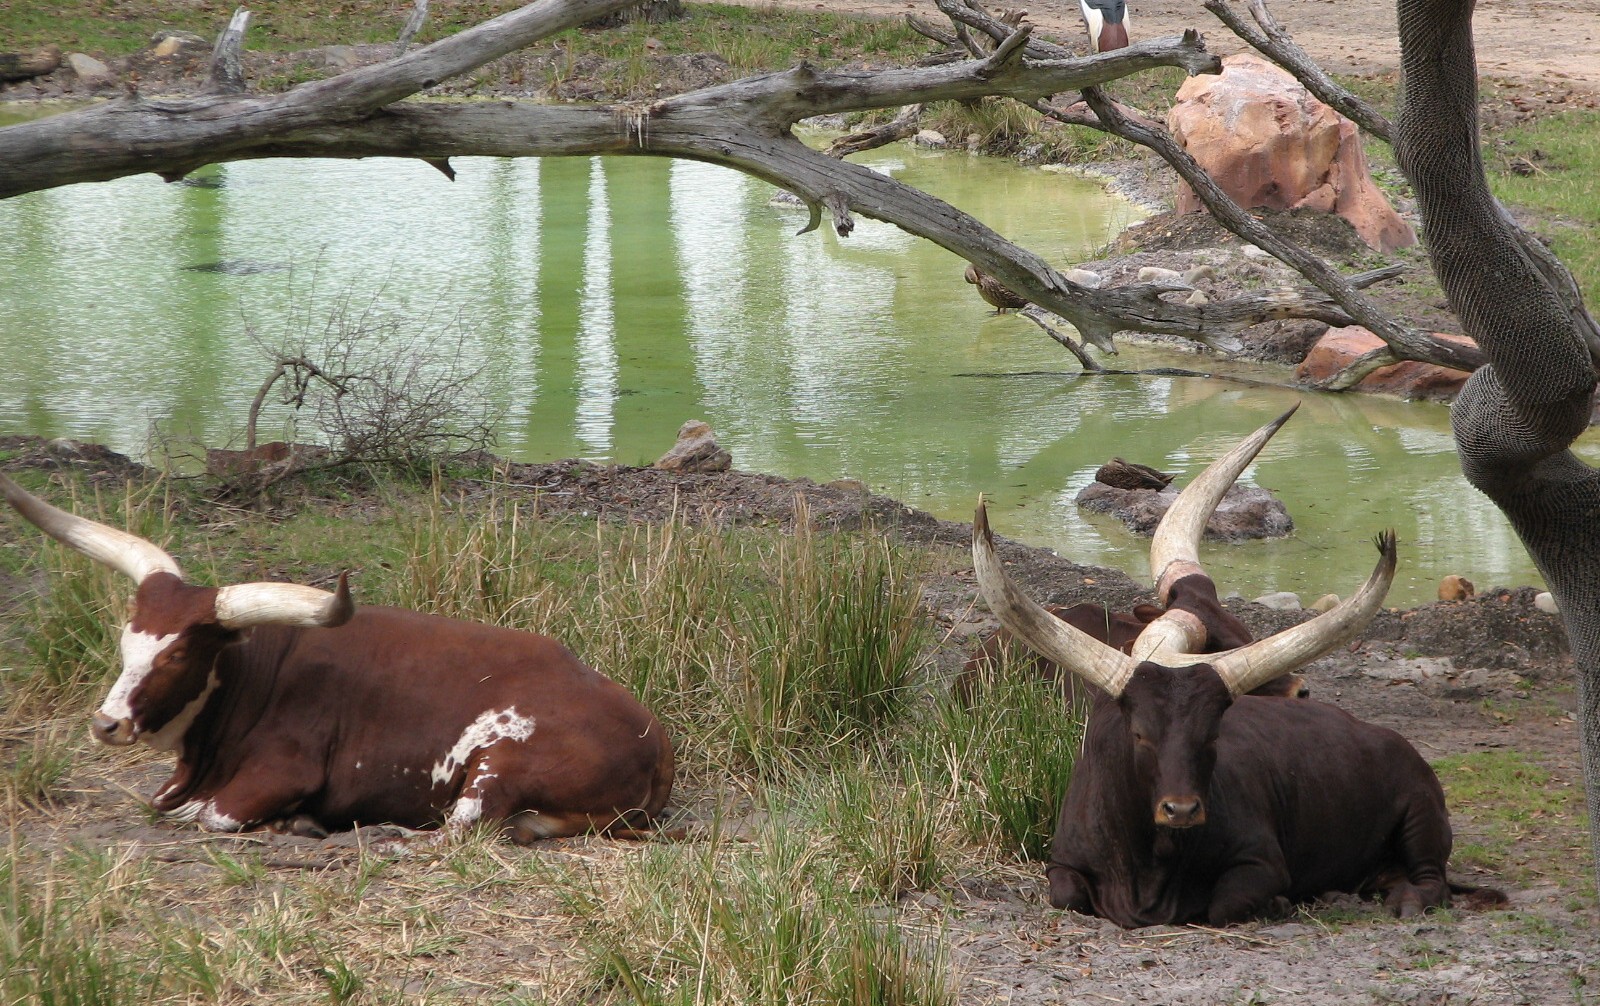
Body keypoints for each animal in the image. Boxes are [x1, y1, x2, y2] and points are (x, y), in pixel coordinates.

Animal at [0, 472, 674, 842]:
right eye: (125, 644)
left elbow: (209, 816)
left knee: (460, 831)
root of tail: (657, 740)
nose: (106, 724)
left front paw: (290, 821)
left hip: (496, 768)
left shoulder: (281, 771)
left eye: (178, 656)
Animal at [972, 407, 1456, 927]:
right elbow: (1067, 893)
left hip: (1421, 812)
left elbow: (1223, 904)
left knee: (1431, 878)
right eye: (1138, 734)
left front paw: (1277, 902)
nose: (1302, 691)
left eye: (1214, 735)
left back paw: (1397, 897)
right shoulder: (1062, 864)